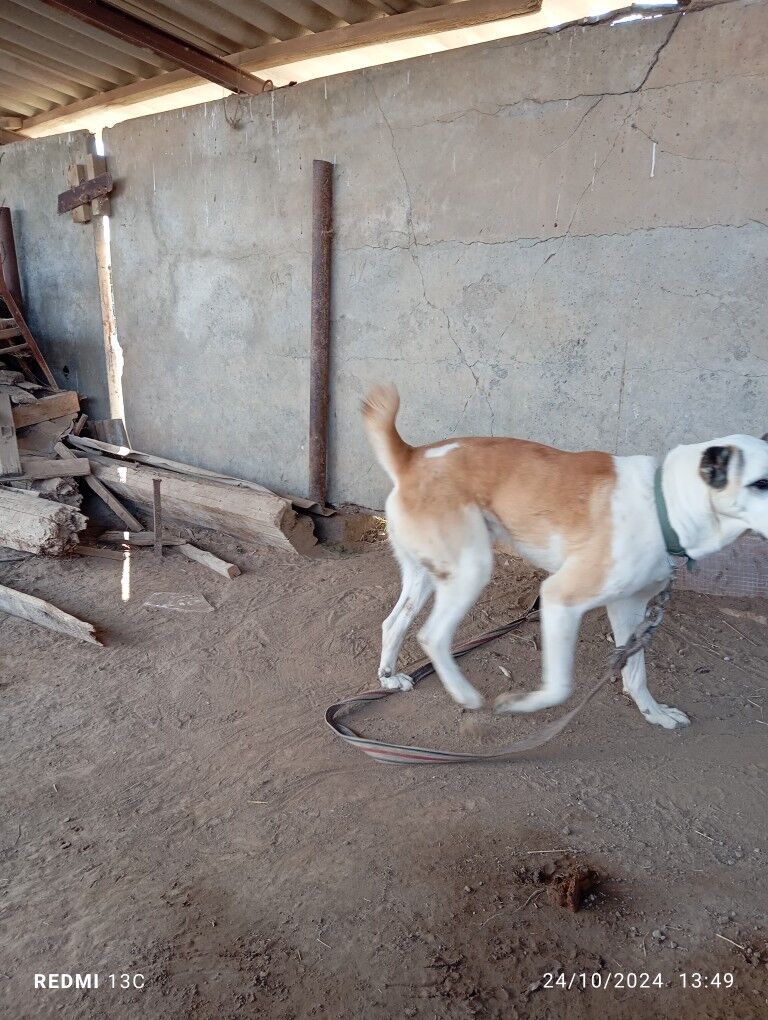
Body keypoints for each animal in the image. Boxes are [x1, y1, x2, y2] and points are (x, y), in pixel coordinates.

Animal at [363, 385, 766, 730]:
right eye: (761, 483)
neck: (663, 503)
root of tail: (413, 457)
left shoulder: (629, 606)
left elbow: (635, 672)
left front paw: (654, 713)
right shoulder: (560, 597)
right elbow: (559, 687)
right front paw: (522, 704)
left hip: (428, 574)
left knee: (393, 623)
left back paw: (389, 678)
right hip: (471, 570)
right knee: (432, 636)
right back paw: (465, 694)